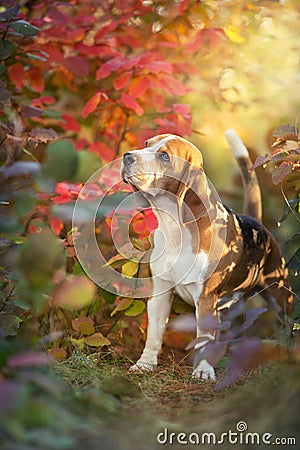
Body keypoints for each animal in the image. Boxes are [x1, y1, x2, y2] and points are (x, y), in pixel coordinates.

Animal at [120, 130, 292, 380]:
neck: (175, 229)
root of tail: (257, 224)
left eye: (165, 156)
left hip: (279, 294)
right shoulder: (161, 292)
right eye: (146, 144)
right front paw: (145, 364)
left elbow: (203, 338)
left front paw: (202, 370)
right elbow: (154, 333)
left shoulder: (205, 299)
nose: (127, 156)